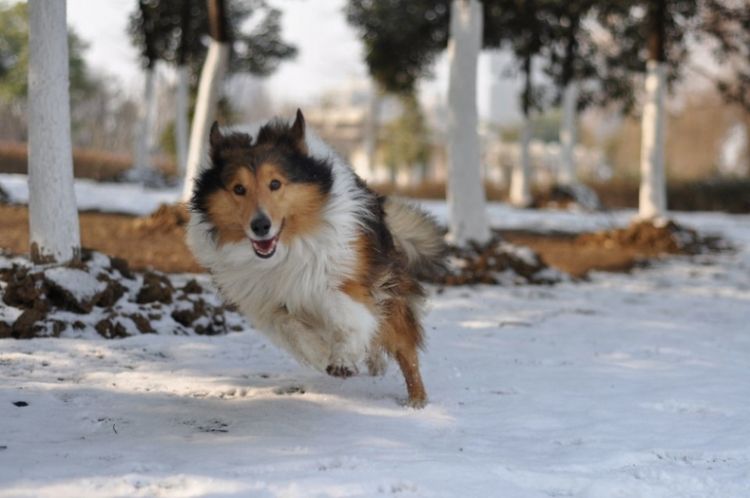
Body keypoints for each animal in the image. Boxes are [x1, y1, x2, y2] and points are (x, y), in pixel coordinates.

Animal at [187, 110, 446, 408]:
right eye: (238, 189)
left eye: (275, 183)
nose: (260, 226)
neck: (285, 249)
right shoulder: (265, 300)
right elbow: (290, 326)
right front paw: (322, 354)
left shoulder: (344, 277)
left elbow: (346, 313)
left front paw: (343, 358)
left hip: (389, 293)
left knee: (404, 348)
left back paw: (416, 400)